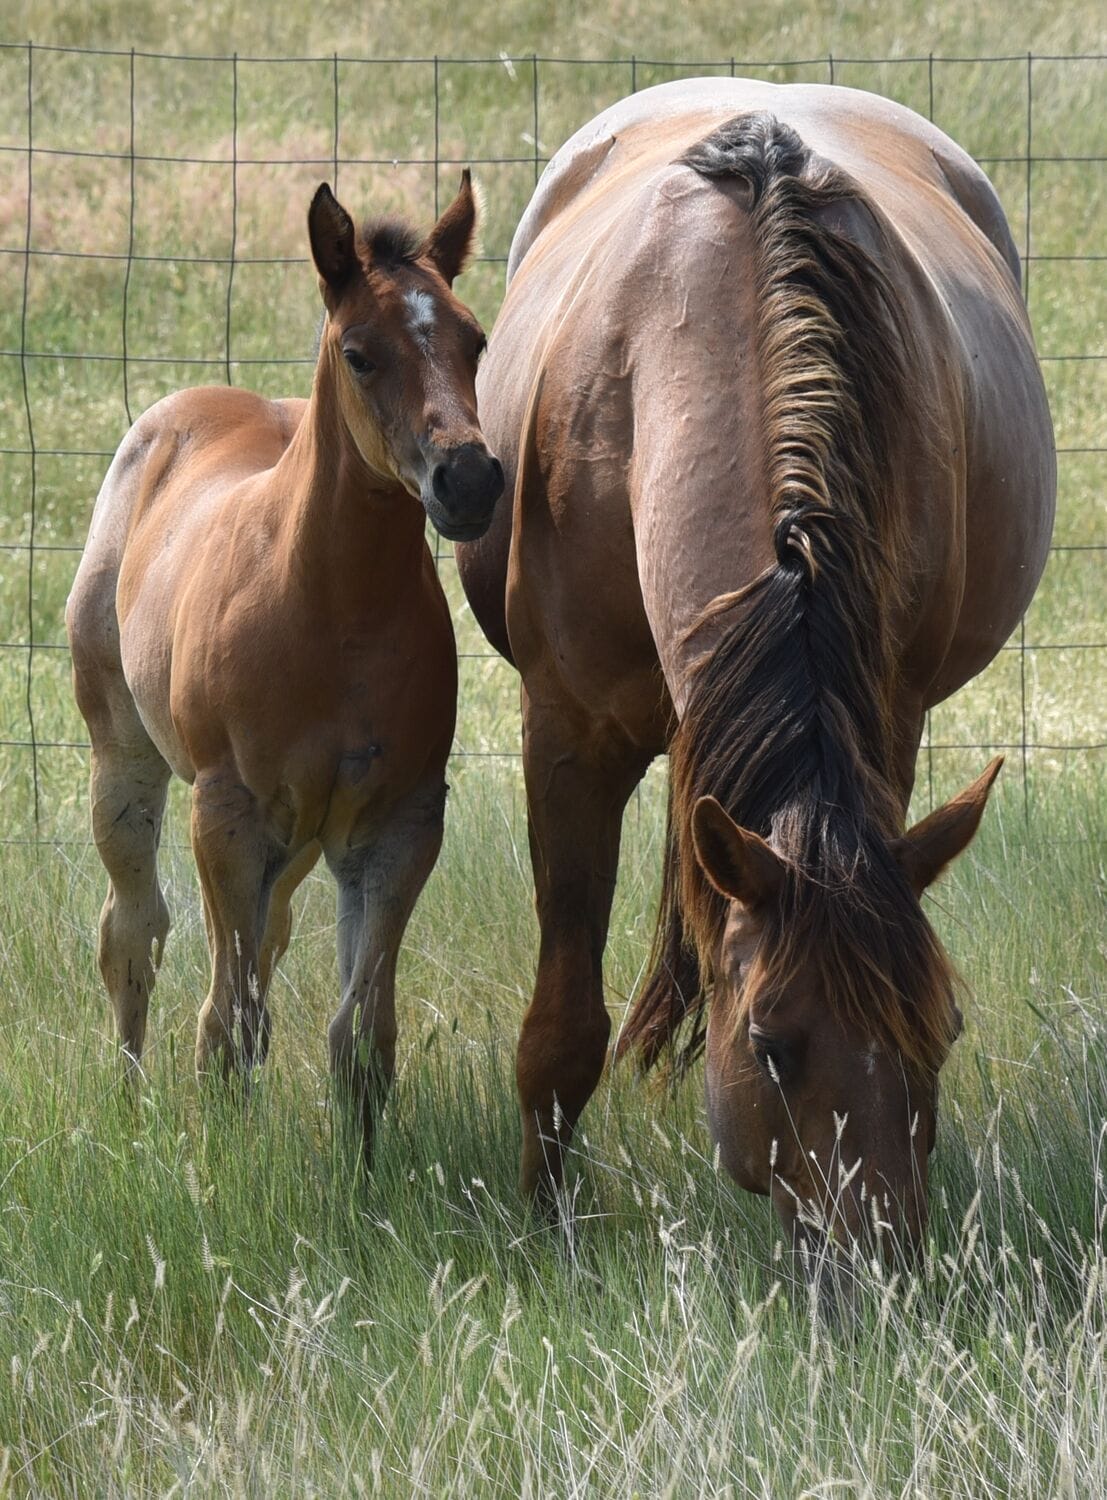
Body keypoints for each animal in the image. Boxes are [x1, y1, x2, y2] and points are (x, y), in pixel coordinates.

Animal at [66, 175, 501, 1152]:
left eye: (476, 340)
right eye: (359, 354)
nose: (468, 479)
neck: (331, 613)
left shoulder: (398, 822)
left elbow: (361, 1031)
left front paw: (362, 1168)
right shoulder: (226, 814)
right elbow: (224, 1023)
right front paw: (223, 1160)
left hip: (296, 836)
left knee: (262, 944)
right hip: (128, 762)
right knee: (134, 935)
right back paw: (127, 1100)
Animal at [456, 79, 1050, 1254]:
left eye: (943, 1029)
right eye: (773, 1046)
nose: (878, 1266)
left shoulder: (887, 721)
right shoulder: (567, 735)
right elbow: (562, 1024)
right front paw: (547, 1235)